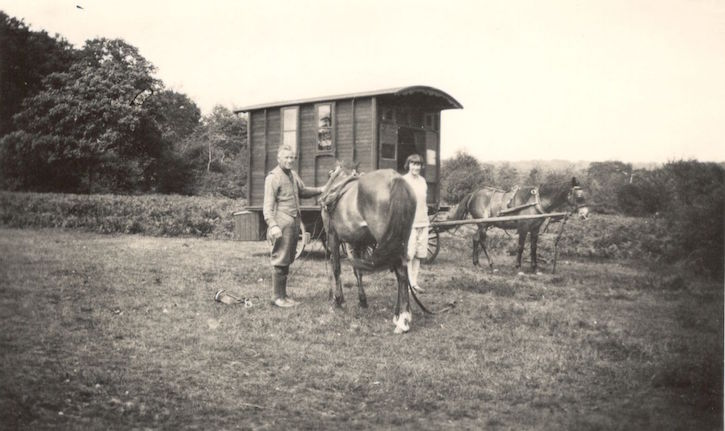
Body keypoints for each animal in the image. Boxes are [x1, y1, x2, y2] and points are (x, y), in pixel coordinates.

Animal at [320, 162, 416, 334]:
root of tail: (395, 179)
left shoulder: (333, 236)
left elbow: (336, 267)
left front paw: (338, 300)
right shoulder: (355, 241)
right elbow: (357, 270)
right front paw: (362, 300)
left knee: (400, 271)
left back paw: (403, 320)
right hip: (399, 239)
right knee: (402, 273)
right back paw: (399, 314)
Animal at [446, 178, 588, 274]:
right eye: (579, 196)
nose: (585, 215)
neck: (535, 202)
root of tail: (473, 194)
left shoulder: (535, 229)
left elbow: (533, 248)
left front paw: (534, 267)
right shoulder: (523, 228)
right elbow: (520, 247)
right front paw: (518, 266)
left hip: (483, 224)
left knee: (475, 238)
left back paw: (476, 263)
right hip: (483, 224)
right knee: (482, 240)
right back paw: (491, 263)